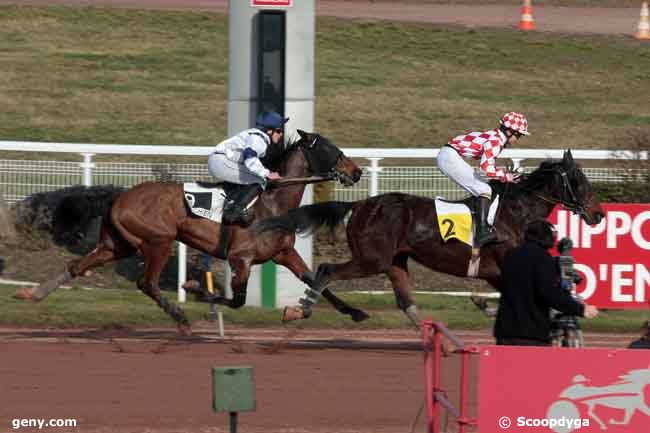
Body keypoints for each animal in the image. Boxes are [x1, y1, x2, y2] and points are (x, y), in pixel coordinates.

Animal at [15, 130, 362, 332]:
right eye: (331, 148)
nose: (356, 171)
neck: (272, 204)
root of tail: (121, 196)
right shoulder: (241, 259)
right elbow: (236, 300)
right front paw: (194, 288)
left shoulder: (284, 253)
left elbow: (315, 279)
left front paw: (351, 312)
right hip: (158, 240)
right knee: (147, 283)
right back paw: (180, 318)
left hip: (117, 244)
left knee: (77, 265)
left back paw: (33, 293)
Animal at [252, 150, 604, 326]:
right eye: (578, 180)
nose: (599, 214)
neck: (517, 213)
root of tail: (362, 204)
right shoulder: (504, 265)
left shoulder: (496, 273)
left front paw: (482, 304)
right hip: (372, 259)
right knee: (326, 270)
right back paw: (299, 310)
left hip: (395, 261)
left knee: (406, 301)